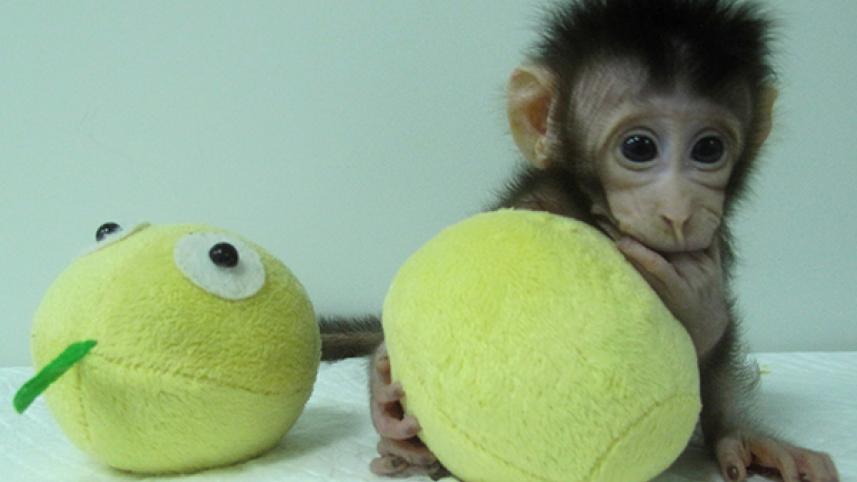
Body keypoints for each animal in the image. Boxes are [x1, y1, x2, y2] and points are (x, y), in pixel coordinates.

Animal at [320, 1, 840, 481]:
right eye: (639, 148)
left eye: (709, 149)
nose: (679, 210)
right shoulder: (536, 201)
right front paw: (384, 395)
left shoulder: (716, 240)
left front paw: (741, 432)